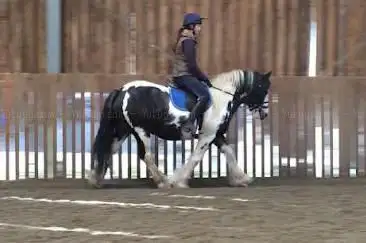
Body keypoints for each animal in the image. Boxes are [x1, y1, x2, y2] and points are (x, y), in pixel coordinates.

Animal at [88, 69, 272, 189]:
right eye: (264, 88)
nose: (265, 114)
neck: (222, 97)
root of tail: (122, 90)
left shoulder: (216, 134)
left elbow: (229, 152)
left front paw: (242, 179)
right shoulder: (207, 136)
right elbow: (196, 158)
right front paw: (179, 181)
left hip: (124, 130)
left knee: (110, 150)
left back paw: (96, 179)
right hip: (141, 130)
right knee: (146, 155)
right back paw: (163, 181)